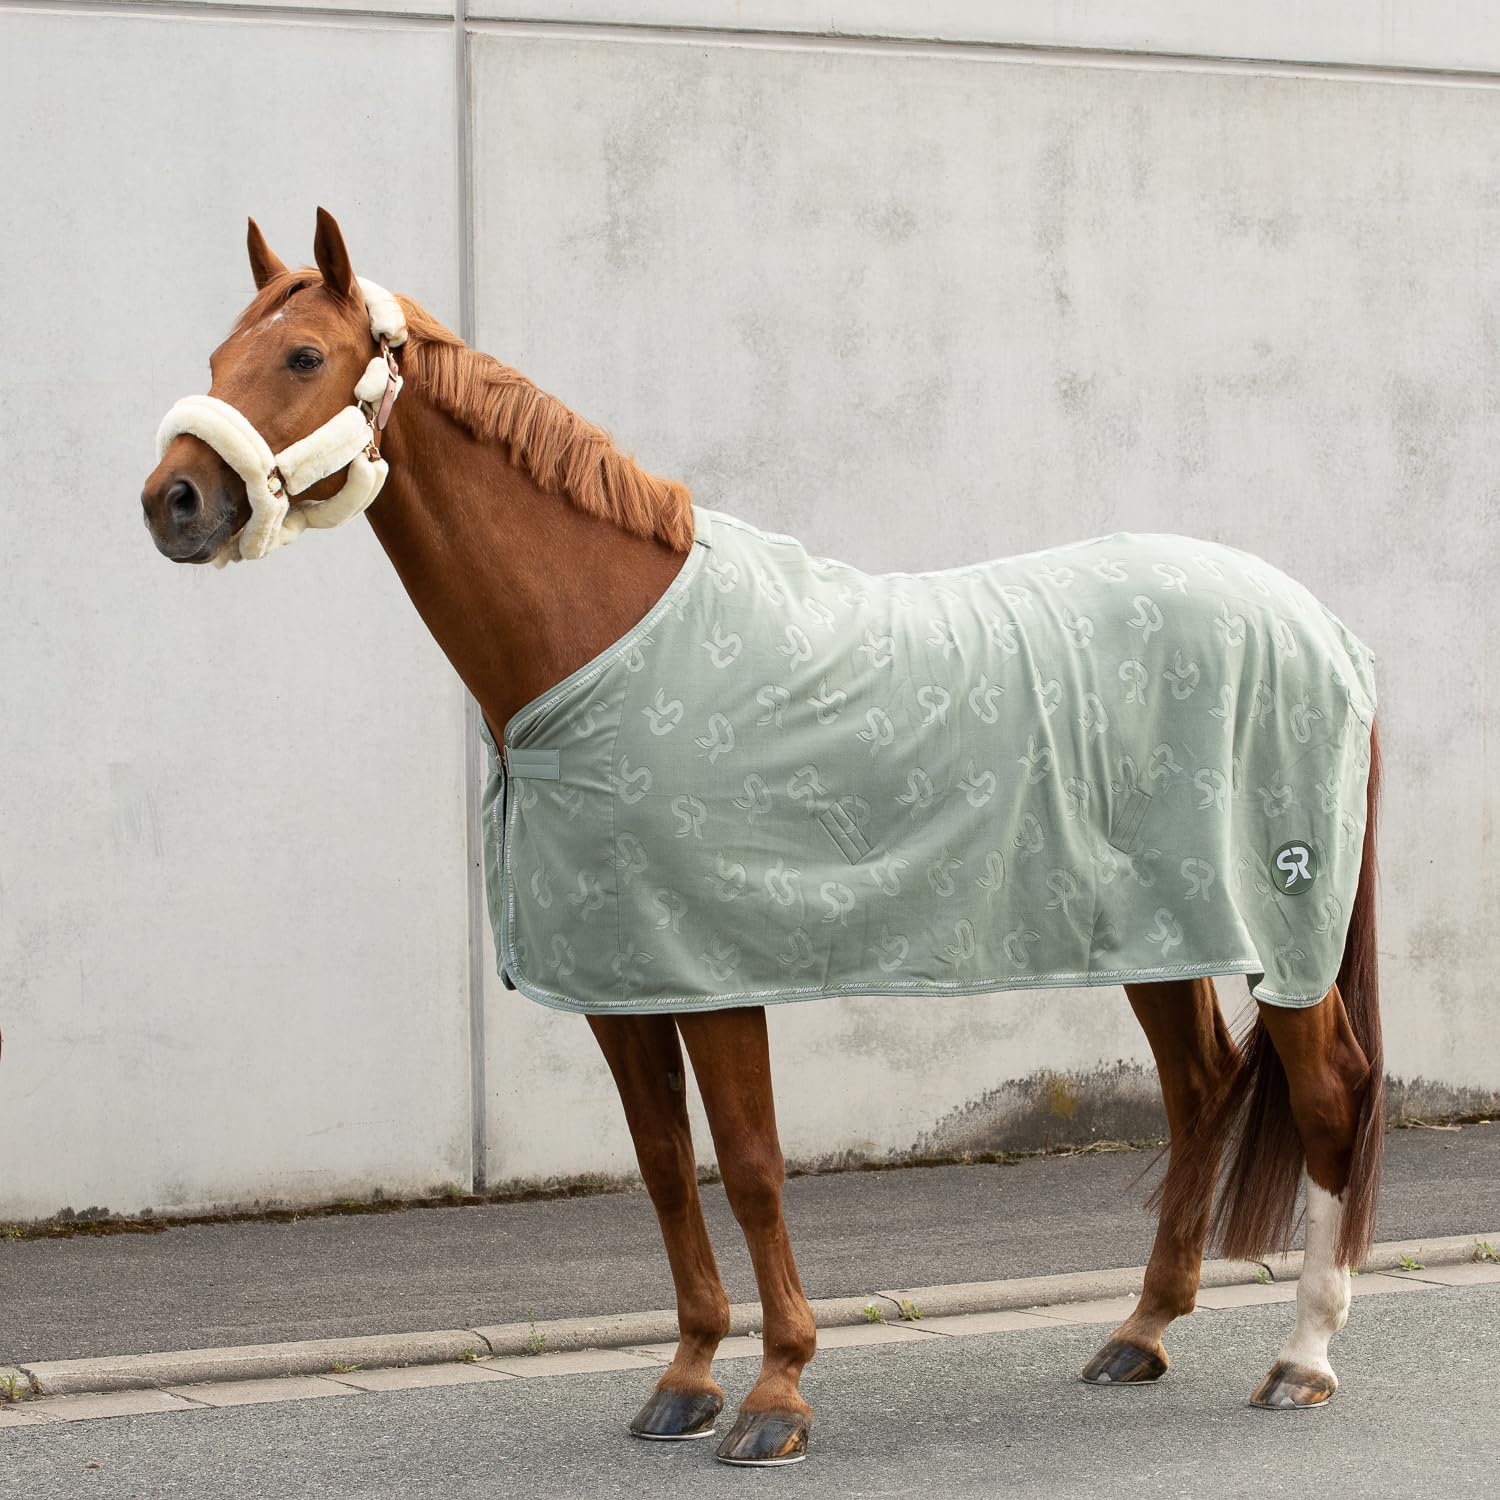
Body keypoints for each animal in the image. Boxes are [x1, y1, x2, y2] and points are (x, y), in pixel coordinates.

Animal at [140, 210, 1384, 1467]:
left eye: (302, 356)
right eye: (217, 356)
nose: (173, 501)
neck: (606, 639)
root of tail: (1321, 625)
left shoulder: (717, 972)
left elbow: (748, 1168)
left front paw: (777, 1392)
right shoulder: (622, 982)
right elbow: (662, 1172)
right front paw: (685, 1378)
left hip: (1284, 930)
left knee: (1329, 1092)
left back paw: (1303, 1359)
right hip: (1159, 935)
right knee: (1198, 1089)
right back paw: (1140, 1333)